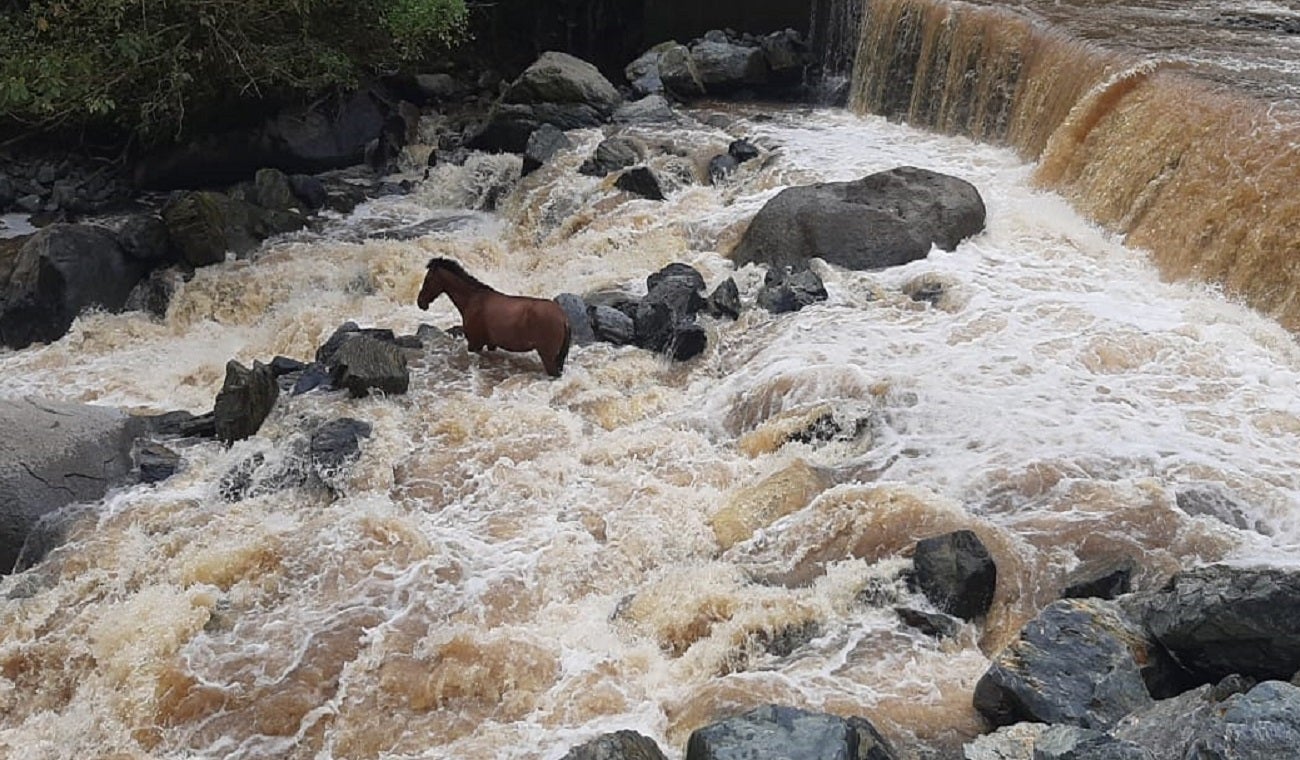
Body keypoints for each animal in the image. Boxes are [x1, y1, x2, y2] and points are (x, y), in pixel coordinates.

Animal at [417, 258, 572, 377]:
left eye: (428, 279)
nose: (420, 302)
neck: (473, 299)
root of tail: (563, 318)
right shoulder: (490, 344)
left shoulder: (474, 344)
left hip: (548, 357)